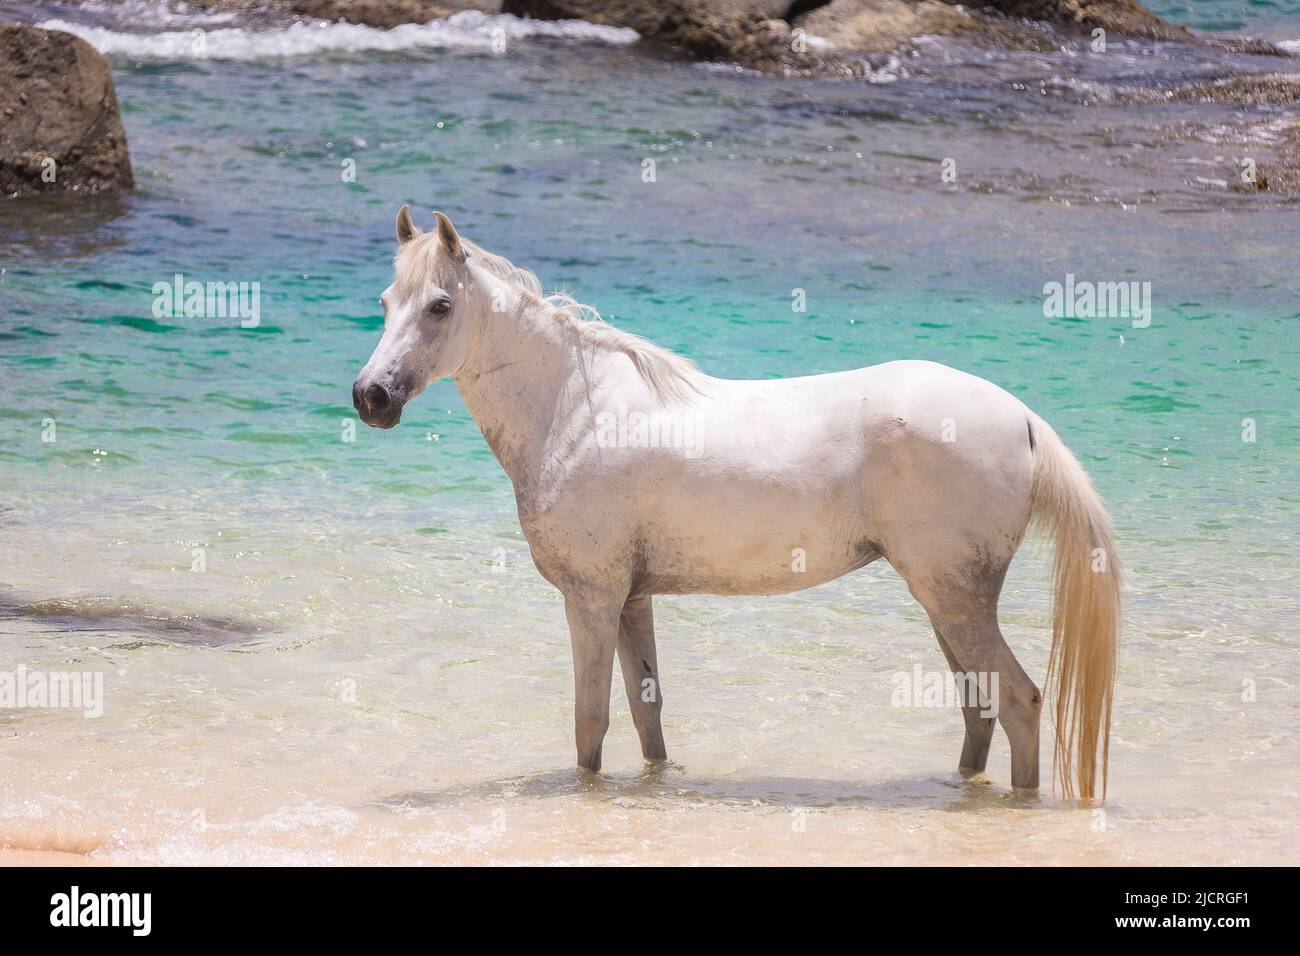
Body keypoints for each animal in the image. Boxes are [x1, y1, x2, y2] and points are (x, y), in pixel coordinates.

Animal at [353, 208, 1118, 801]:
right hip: (949, 602)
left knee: (1018, 703)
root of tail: (1021, 418)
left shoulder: (591, 597)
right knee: (977, 709)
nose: (371, 397)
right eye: (387, 303)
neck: (574, 407)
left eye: (440, 306)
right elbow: (648, 716)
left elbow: (590, 723)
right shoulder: (632, 598)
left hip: (954, 599)